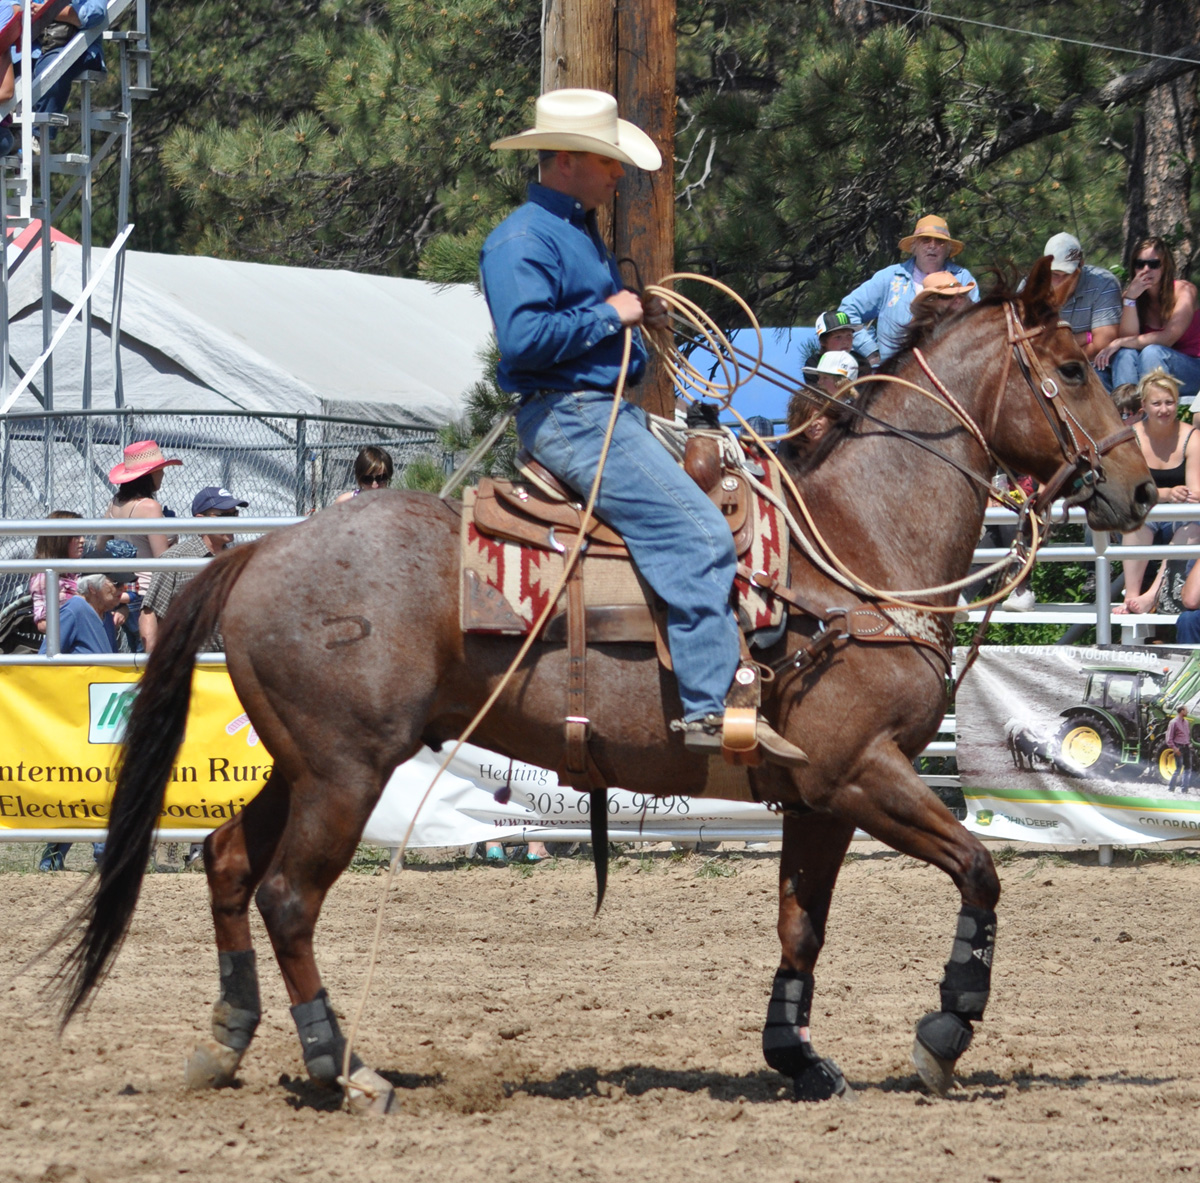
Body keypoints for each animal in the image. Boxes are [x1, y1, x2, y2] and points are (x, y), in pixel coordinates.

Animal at [56, 257, 1152, 1108]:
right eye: (1069, 367)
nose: (1141, 486)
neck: (854, 546)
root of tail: (262, 551)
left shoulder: (816, 795)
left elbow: (802, 922)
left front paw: (796, 1056)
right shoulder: (860, 771)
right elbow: (980, 867)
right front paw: (945, 1031)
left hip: (309, 760)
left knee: (228, 861)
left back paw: (226, 1038)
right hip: (345, 770)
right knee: (288, 893)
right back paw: (342, 1063)